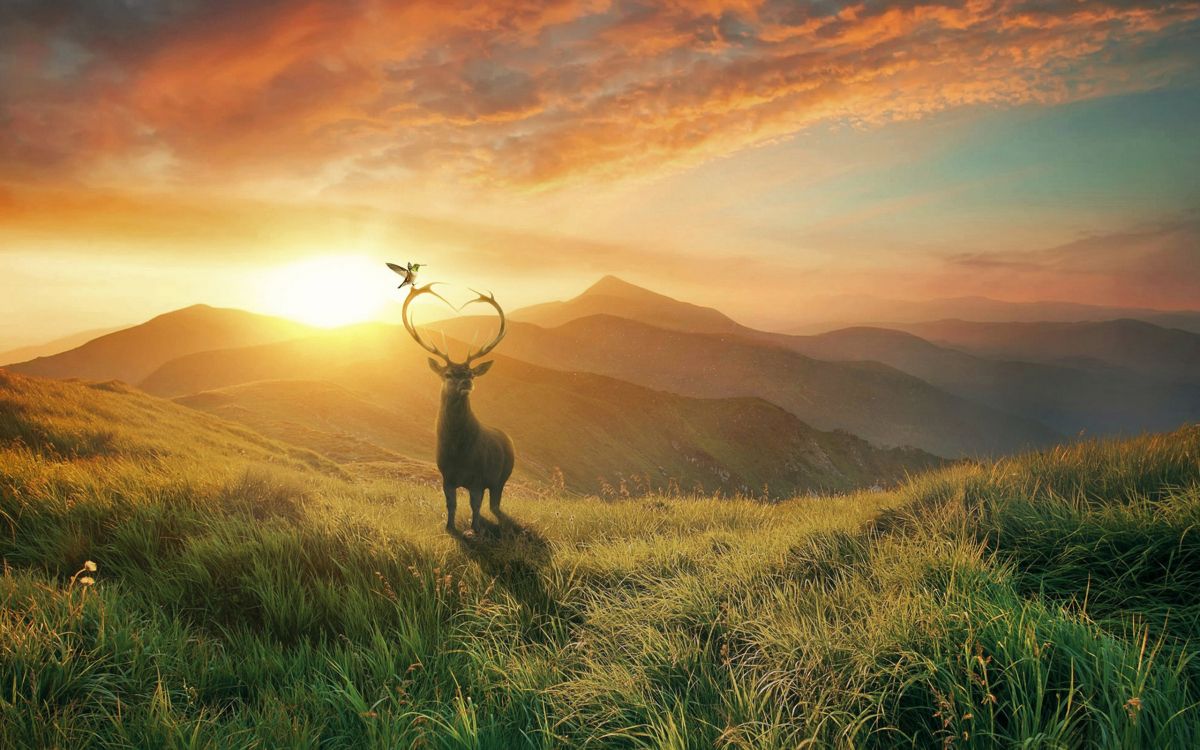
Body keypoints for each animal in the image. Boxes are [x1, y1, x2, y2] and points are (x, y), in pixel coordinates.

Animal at [403, 280, 516, 532]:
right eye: (448, 374)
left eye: (471, 374)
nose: (466, 382)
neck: (459, 453)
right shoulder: (446, 476)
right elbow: (451, 505)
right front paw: (449, 527)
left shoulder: (479, 478)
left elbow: (475, 506)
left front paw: (475, 529)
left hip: (502, 476)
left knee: (495, 504)